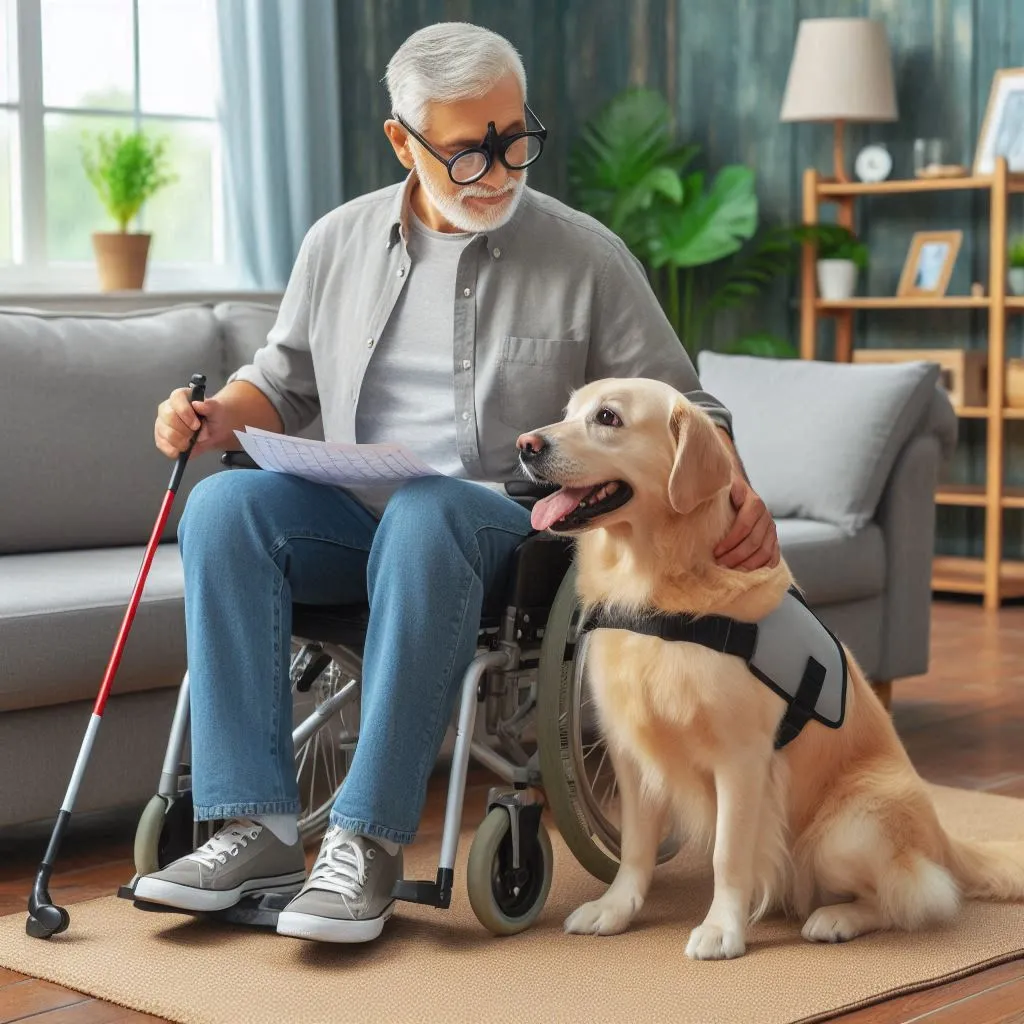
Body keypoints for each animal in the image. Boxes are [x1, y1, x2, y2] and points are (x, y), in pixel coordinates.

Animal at [516, 376, 1024, 958]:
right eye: (567, 411)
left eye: (608, 417)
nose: (526, 445)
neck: (662, 589)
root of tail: (942, 838)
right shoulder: (632, 752)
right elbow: (637, 849)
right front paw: (615, 909)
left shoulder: (742, 759)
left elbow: (728, 855)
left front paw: (722, 930)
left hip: (844, 831)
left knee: (913, 896)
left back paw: (836, 918)